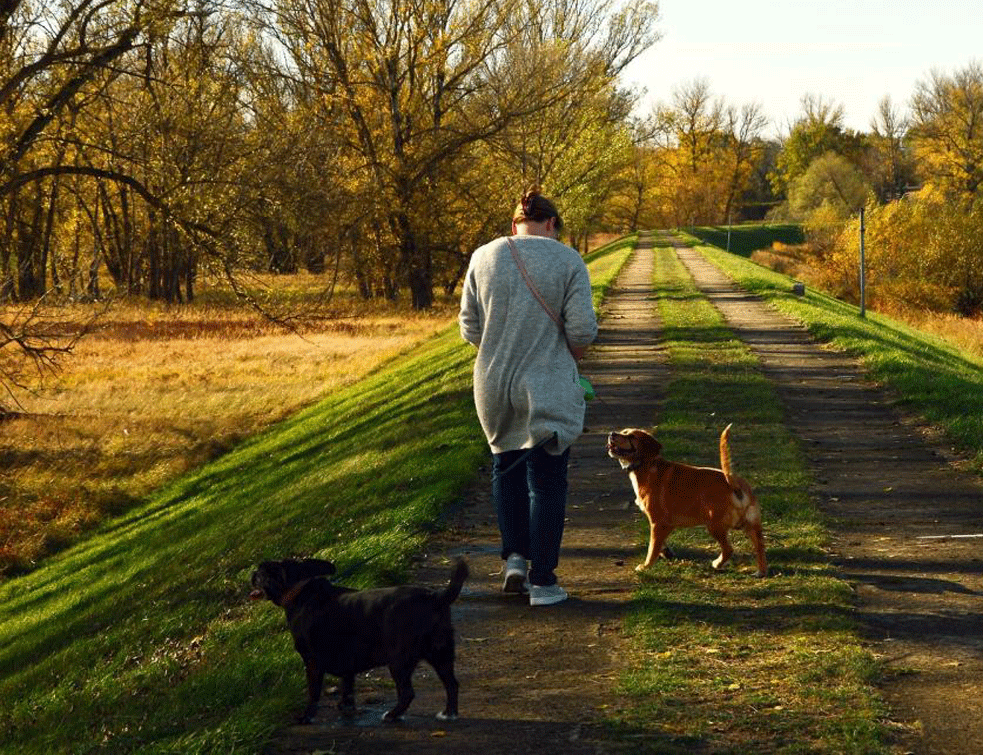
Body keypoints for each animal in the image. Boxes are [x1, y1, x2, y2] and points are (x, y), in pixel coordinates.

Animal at [252, 560, 470, 724]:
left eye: (262, 573)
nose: (252, 574)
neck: (300, 591)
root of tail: (435, 597)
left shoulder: (312, 663)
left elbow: (313, 693)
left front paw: (306, 717)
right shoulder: (346, 662)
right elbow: (347, 688)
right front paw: (346, 708)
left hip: (399, 661)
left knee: (408, 693)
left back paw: (392, 715)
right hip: (441, 654)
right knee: (452, 684)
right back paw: (449, 713)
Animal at [608, 426, 768, 580]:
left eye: (631, 436)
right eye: (623, 432)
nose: (612, 434)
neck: (647, 464)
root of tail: (733, 483)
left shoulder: (658, 522)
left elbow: (652, 548)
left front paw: (646, 566)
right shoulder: (663, 525)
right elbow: (659, 544)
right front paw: (666, 552)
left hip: (714, 525)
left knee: (729, 549)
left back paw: (717, 564)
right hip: (751, 526)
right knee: (760, 546)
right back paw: (760, 572)